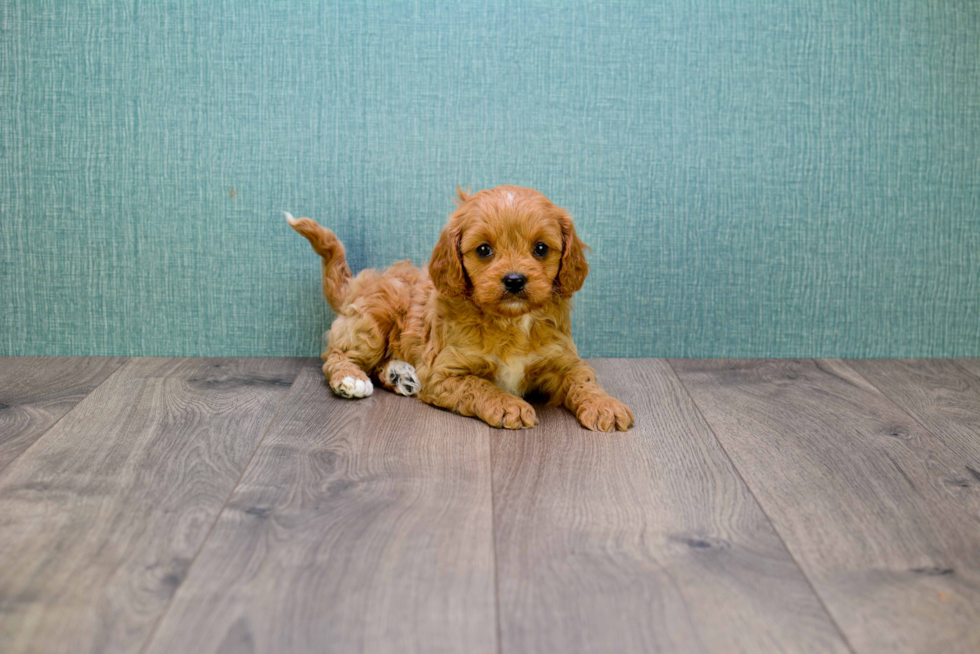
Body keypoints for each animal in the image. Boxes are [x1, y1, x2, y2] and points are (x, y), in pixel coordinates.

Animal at [288, 184, 632, 434]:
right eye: (484, 250)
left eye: (540, 248)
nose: (515, 280)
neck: (511, 322)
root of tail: (356, 284)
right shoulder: (445, 373)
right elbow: (478, 385)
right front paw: (508, 405)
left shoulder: (564, 360)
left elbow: (584, 380)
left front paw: (606, 405)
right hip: (374, 320)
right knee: (337, 355)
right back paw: (352, 379)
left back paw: (400, 375)